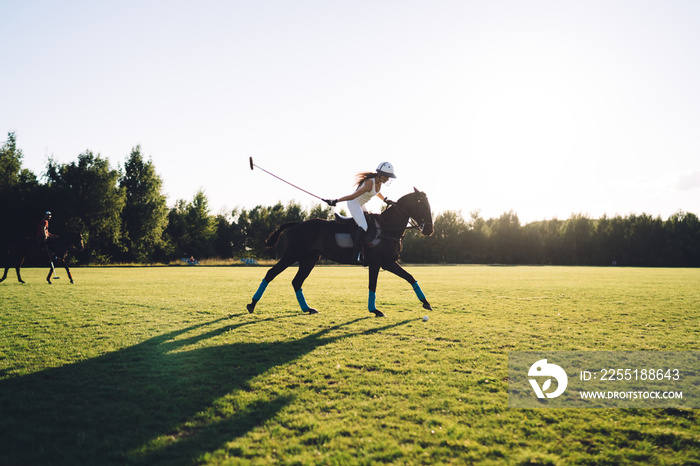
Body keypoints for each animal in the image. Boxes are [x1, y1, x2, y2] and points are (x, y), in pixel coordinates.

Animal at [246, 188, 432, 316]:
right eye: (421, 205)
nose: (429, 230)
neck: (387, 227)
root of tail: (297, 223)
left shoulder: (388, 262)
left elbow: (410, 277)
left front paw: (426, 303)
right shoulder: (376, 262)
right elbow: (372, 285)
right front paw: (375, 310)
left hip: (309, 259)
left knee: (296, 281)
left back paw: (308, 308)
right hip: (291, 255)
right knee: (271, 273)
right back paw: (252, 305)